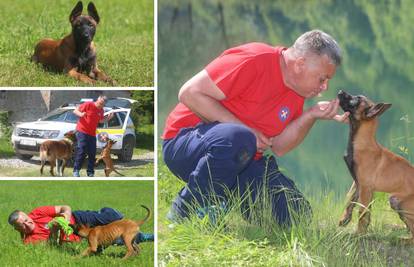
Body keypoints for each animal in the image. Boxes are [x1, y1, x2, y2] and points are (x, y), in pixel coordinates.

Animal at [338, 91, 414, 244]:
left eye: (356, 100)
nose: (340, 91)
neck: (361, 142)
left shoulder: (365, 187)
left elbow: (362, 212)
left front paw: (359, 234)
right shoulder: (358, 183)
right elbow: (350, 201)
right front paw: (345, 219)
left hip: (396, 200)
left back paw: (400, 239)